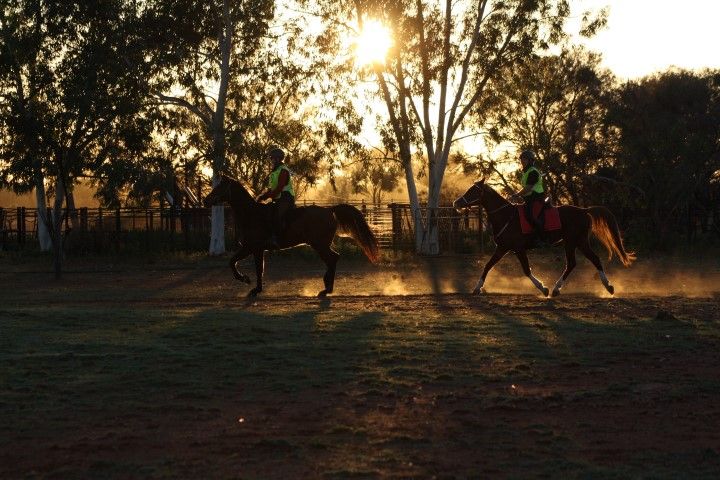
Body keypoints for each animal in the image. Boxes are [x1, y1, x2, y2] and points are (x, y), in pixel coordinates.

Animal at [203, 174, 379, 297]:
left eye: (220, 187)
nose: (206, 200)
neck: (252, 214)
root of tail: (330, 210)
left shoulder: (251, 247)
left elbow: (233, 262)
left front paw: (245, 280)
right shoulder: (256, 249)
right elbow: (257, 269)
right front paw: (256, 288)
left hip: (320, 245)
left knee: (332, 259)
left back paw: (326, 289)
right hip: (321, 245)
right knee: (333, 259)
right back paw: (326, 286)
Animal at [453, 179, 635, 297]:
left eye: (473, 191)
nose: (456, 203)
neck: (506, 216)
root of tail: (584, 211)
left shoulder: (518, 249)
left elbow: (526, 270)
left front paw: (543, 288)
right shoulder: (502, 248)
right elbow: (487, 266)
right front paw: (477, 288)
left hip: (574, 242)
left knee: (582, 261)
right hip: (577, 242)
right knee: (580, 262)